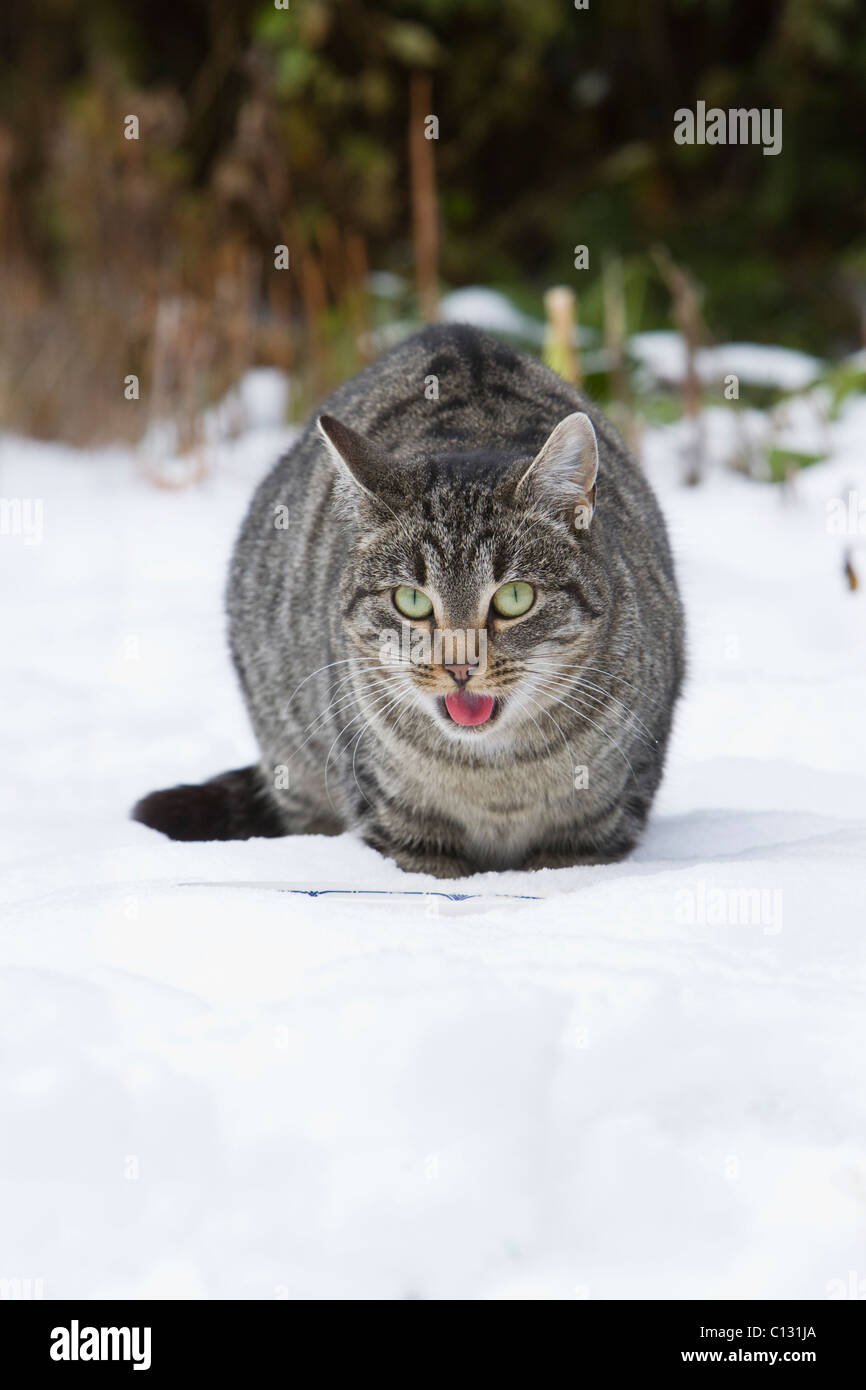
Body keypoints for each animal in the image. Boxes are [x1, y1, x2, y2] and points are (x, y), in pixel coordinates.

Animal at [134, 319, 683, 872]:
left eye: (515, 598)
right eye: (411, 601)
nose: (460, 666)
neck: (495, 778)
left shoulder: (596, 830)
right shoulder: (399, 826)